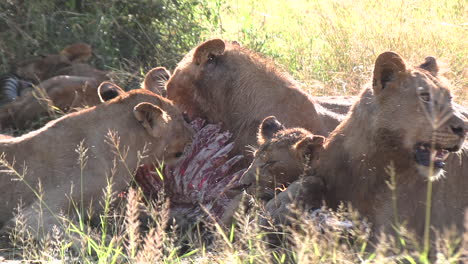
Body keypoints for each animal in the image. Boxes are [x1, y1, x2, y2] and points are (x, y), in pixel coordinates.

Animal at [0, 88, 194, 241]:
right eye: (183, 118)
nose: (192, 134)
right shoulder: (32, 216)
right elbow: (87, 238)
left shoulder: (109, 200)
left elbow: (146, 209)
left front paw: (178, 219)